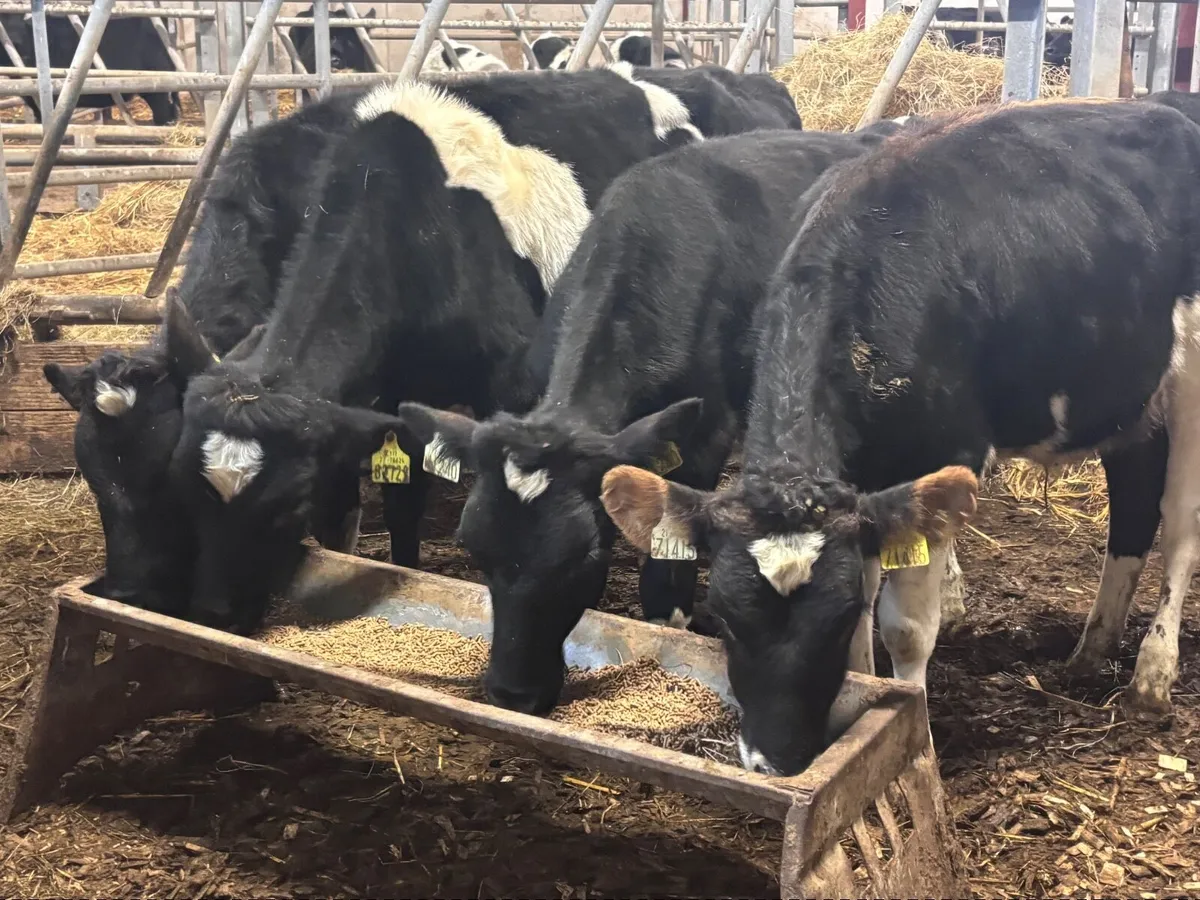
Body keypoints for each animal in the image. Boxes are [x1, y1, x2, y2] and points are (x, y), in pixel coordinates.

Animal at [159, 70, 713, 634]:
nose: (214, 614)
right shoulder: (390, 396)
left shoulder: (515, 384)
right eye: (181, 484)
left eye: (287, 504)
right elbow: (402, 503)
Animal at [599, 101, 1200, 777]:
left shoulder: (940, 458)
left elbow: (906, 629)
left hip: (1192, 378)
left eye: (829, 624)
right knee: (1134, 504)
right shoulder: (861, 489)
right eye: (725, 620)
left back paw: (1152, 675)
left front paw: (916, 733)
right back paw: (1092, 649)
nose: (775, 761)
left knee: (1180, 523)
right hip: (1132, 399)